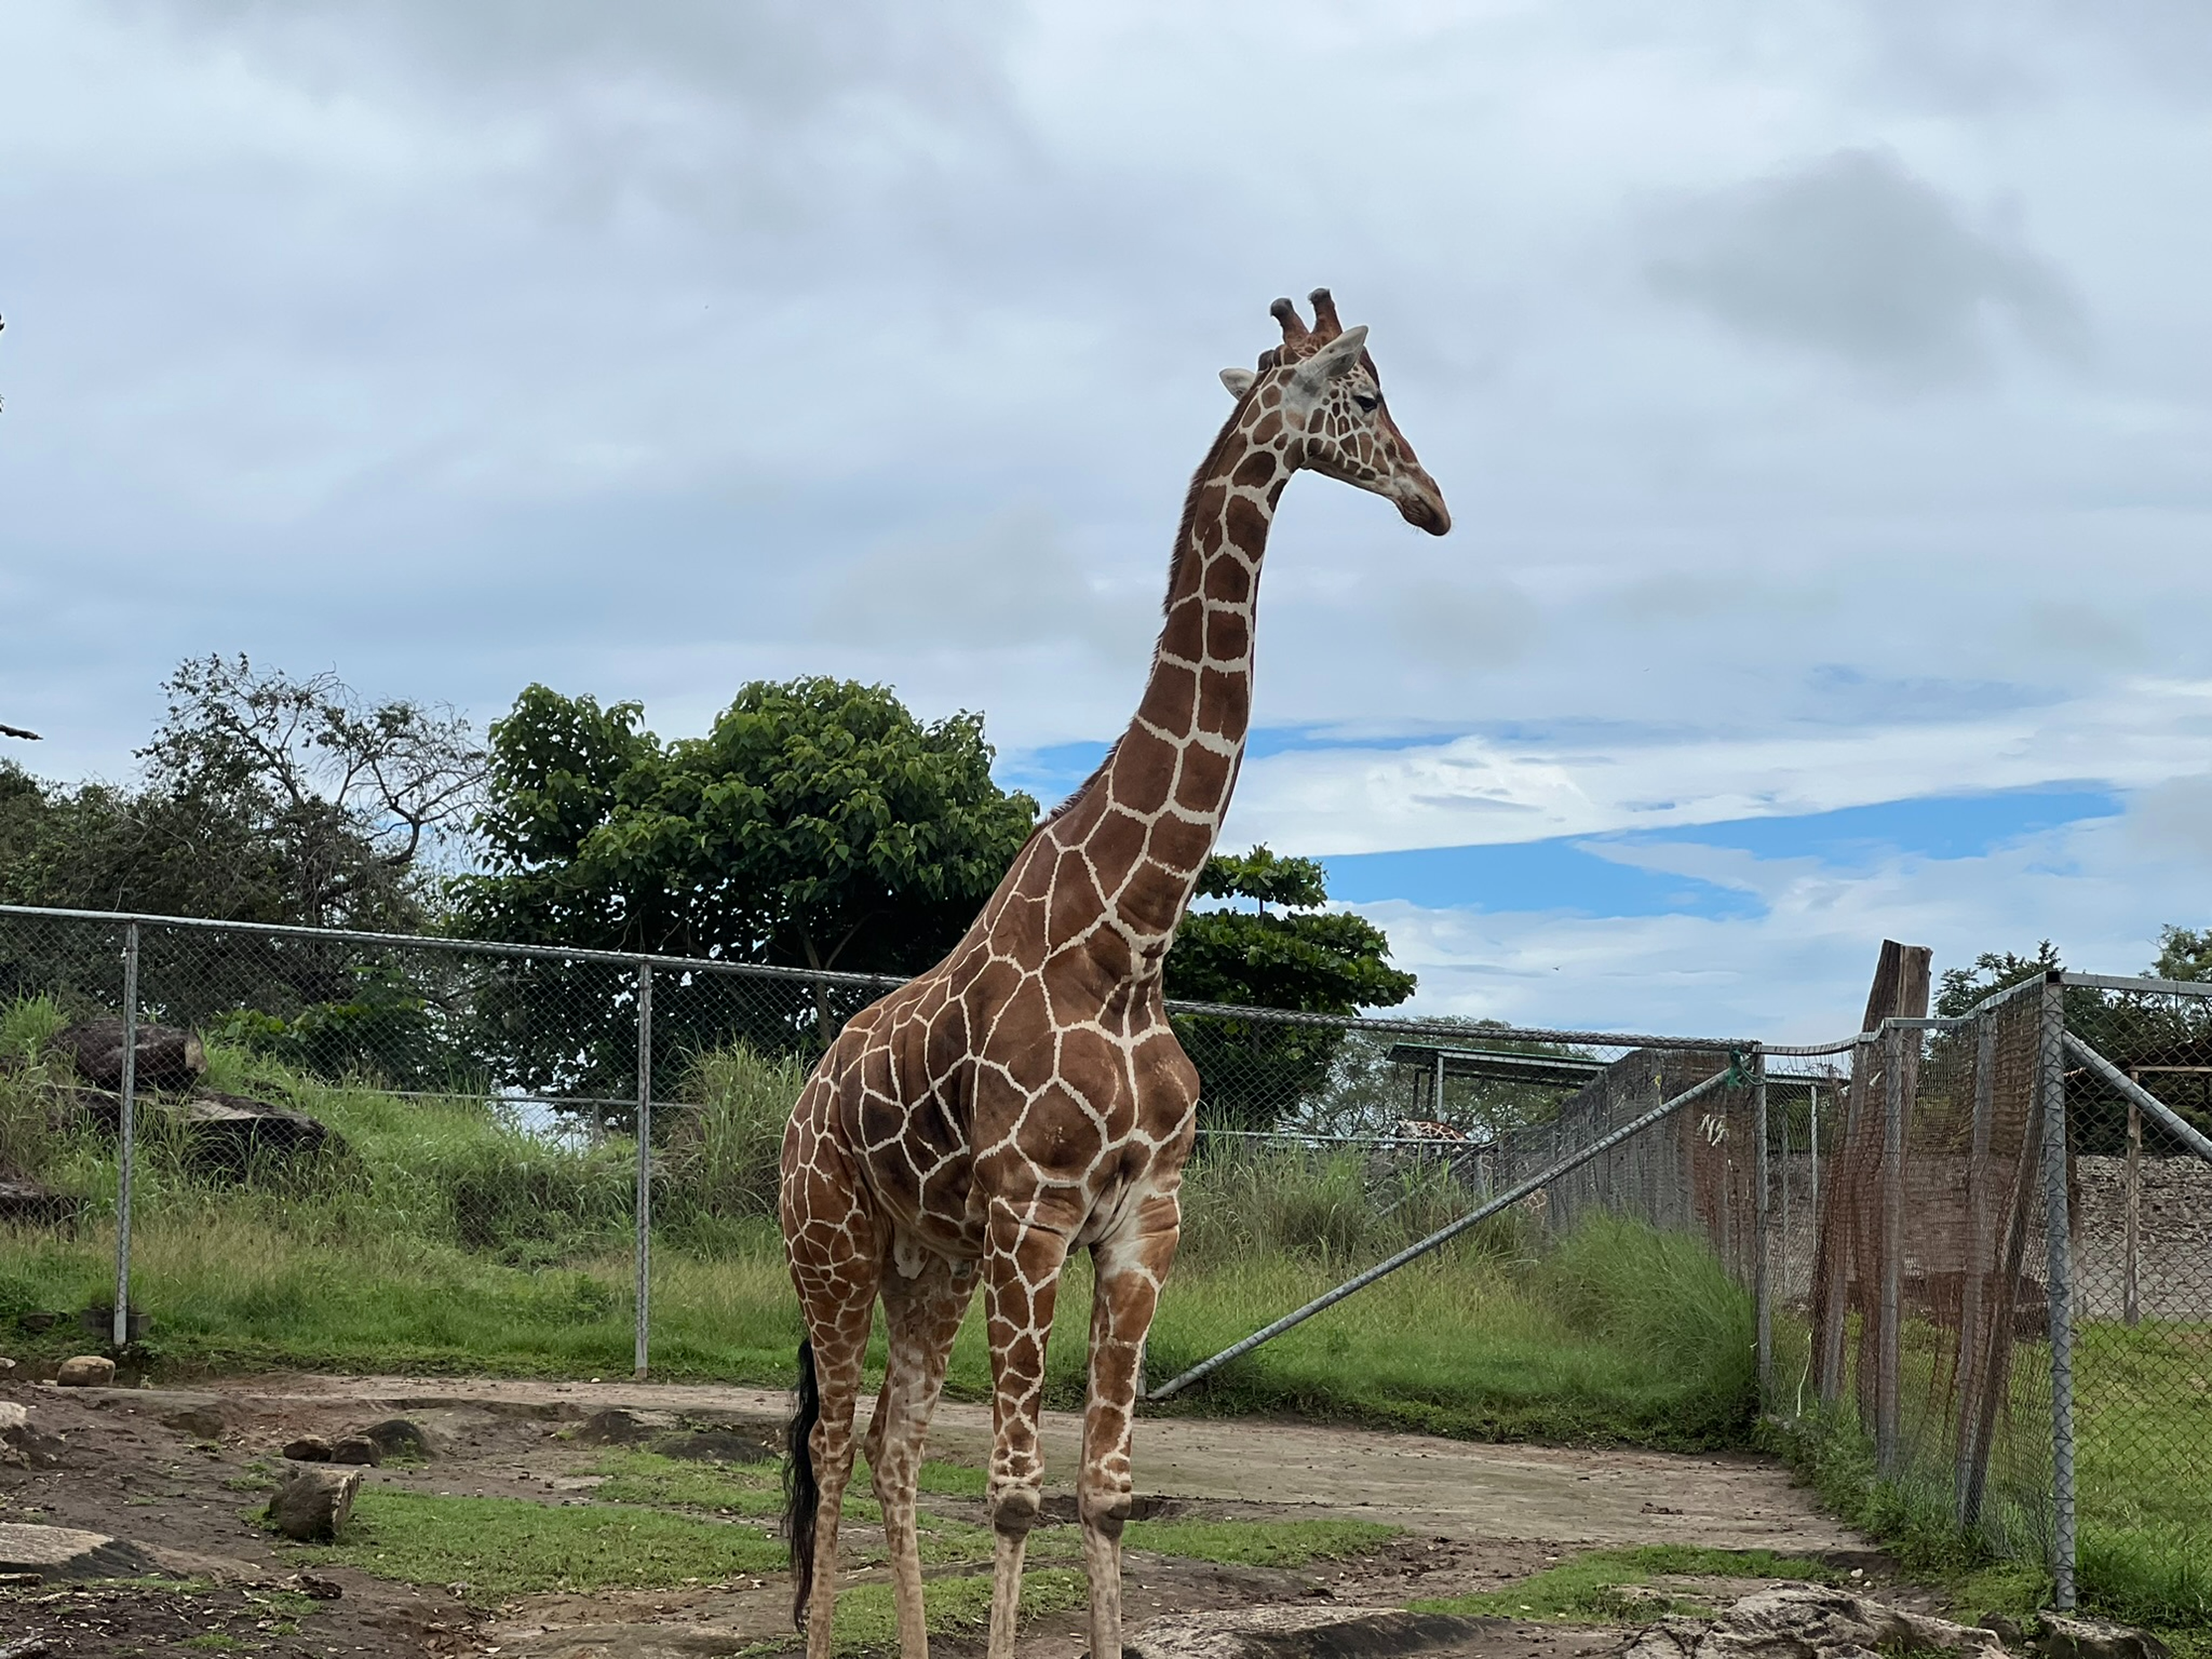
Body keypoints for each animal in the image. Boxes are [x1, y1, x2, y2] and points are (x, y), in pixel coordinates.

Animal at [780, 289, 1449, 1659]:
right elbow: (1016, 1494)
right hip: (832, 1241)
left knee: (888, 1443)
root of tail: (801, 1106)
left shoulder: (1145, 1222)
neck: (1128, 939)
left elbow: (1105, 1491)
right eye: (1362, 397)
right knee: (828, 1441)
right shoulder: (1036, 1215)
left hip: (930, 1259)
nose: (1432, 502)